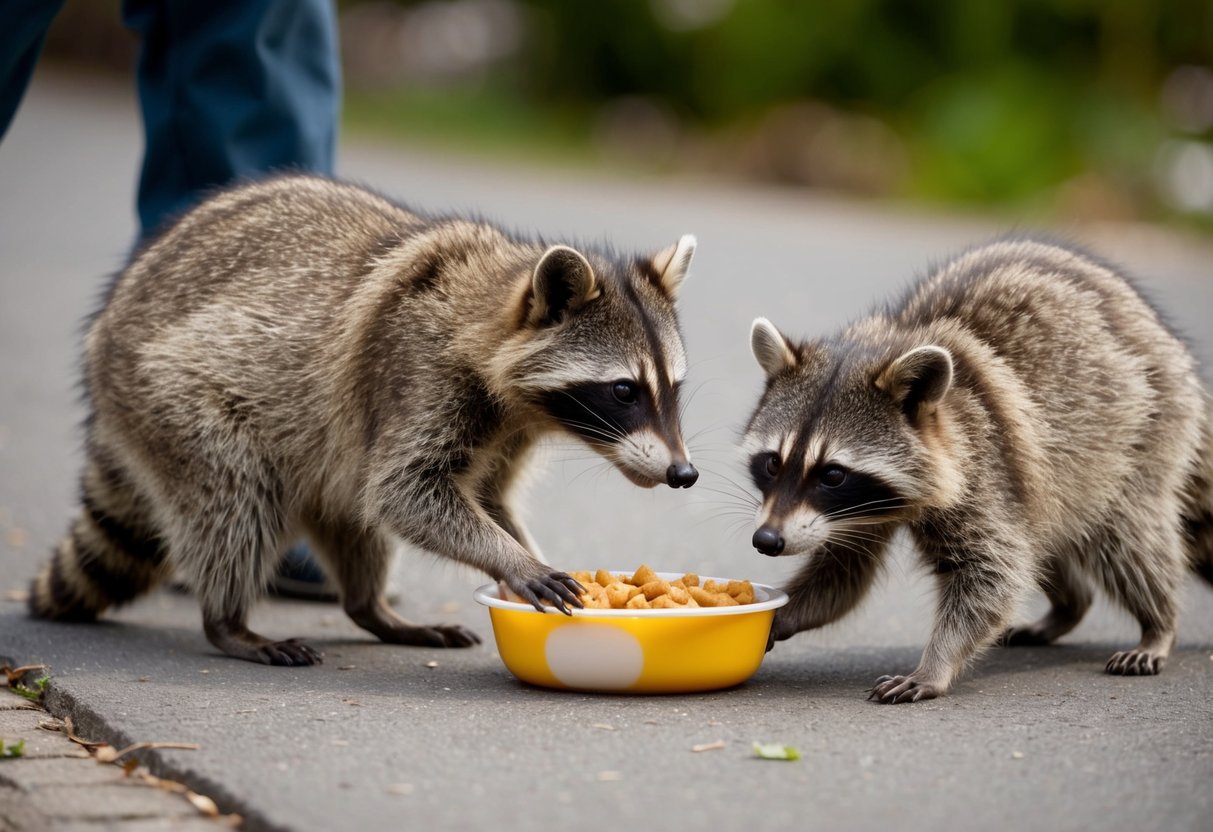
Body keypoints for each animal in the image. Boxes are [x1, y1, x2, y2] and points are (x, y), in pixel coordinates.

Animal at [28, 174, 700, 665]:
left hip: (316, 447)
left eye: (674, 388)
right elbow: (404, 492)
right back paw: (228, 621)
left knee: (349, 515)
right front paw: (513, 560)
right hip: (170, 397)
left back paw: (368, 608)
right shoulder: (415, 375)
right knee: (235, 499)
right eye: (623, 391)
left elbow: (482, 496)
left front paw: (519, 547)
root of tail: (105, 335)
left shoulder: (505, 429)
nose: (683, 474)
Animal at [744, 238, 1213, 703]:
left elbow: (993, 572)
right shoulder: (853, 512)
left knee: (1128, 538)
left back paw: (1158, 624)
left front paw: (936, 663)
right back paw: (1069, 607)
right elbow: (842, 576)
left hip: (1141, 433)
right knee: (1043, 536)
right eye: (772, 463)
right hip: (1056, 479)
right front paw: (781, 613)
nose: (766, 540)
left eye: (833, 474)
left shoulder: (986, 467)